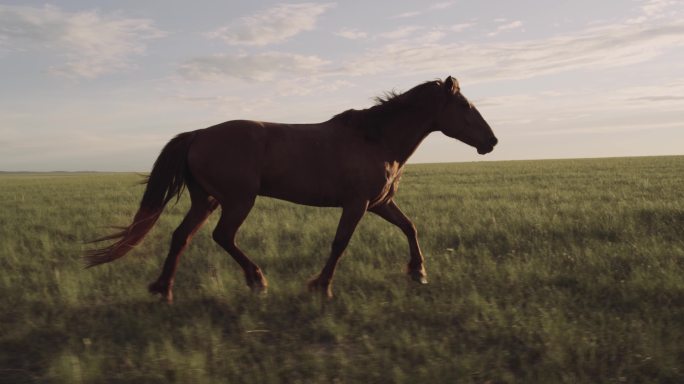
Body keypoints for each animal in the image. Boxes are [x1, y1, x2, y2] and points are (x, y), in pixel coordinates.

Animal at [88, 76, 500, 302]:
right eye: (466, 106)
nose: (492, 141)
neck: (376, 138)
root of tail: (197, 135)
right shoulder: (357, 204)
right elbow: (340, 244)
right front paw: (321, 286)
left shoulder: (379, 203)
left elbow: (410, 227)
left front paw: (418, 272)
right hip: (237, 201)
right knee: (222, 236)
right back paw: (256, 280)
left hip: (206, 200)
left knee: (181, 236)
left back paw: (164, 288)